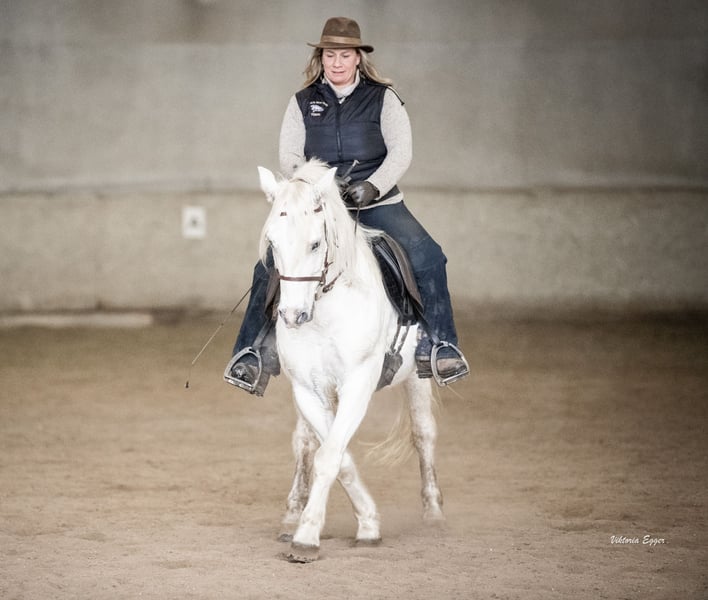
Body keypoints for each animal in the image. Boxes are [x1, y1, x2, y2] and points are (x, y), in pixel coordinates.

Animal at [257, 159, 444, 563]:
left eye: (315, 243)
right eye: (273, 243)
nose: (292, 315)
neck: (325, 311)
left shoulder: (358, 383)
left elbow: (331, 456)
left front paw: (307, 538)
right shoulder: (307, 389)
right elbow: (334, 455)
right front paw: (366, 523)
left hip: (418, 376)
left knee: (423, 433)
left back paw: (435, 513)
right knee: (304, 443)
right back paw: (291, 514)